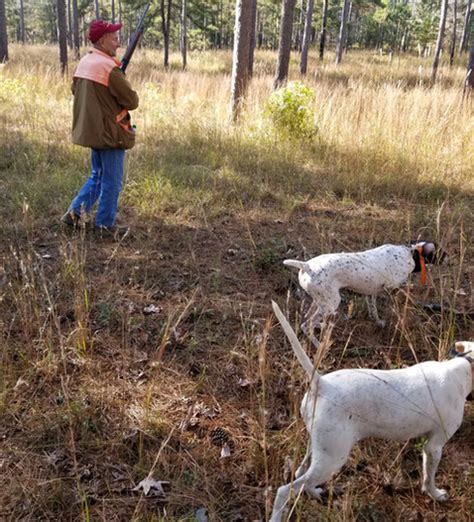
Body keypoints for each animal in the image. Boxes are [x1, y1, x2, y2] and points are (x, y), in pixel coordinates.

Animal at [268, 300, 472, 520]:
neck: (464, 366)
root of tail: (322, 384)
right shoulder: (434, 446)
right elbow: (429, 477)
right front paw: (435, 494)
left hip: (319, 448)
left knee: (300, 476)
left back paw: (314, 492)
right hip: (333, 457)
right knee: (285, 490)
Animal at [284, 241, 446, 346]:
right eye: (441, 253)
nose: (448, 258)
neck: (410, 253)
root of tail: (306, 265)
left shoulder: (371, 293)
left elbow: (373, 310)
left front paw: (378, 322)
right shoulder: (391, 288)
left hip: (321, 301)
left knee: (308, 317)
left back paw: (319, 325)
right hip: (331, 303)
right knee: (306, 325)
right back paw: (318, 344)